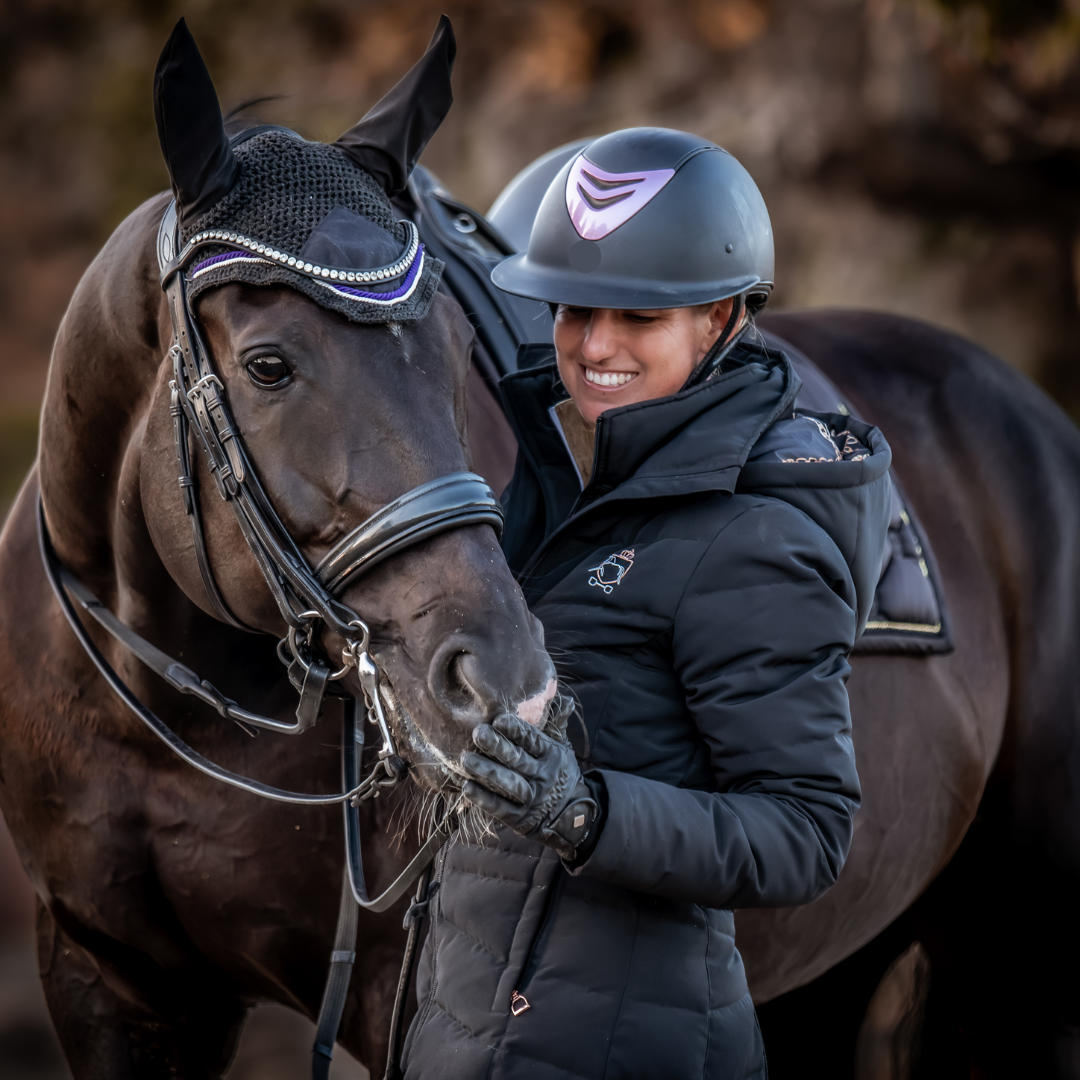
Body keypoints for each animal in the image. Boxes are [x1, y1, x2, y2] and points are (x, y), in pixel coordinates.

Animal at [2, 21, 1080, 1080]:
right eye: (268, 365)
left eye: (447, 353)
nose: (506, 686)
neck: (180, 715)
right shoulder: (110, 980)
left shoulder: (402, 1000)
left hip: (1008, 956)